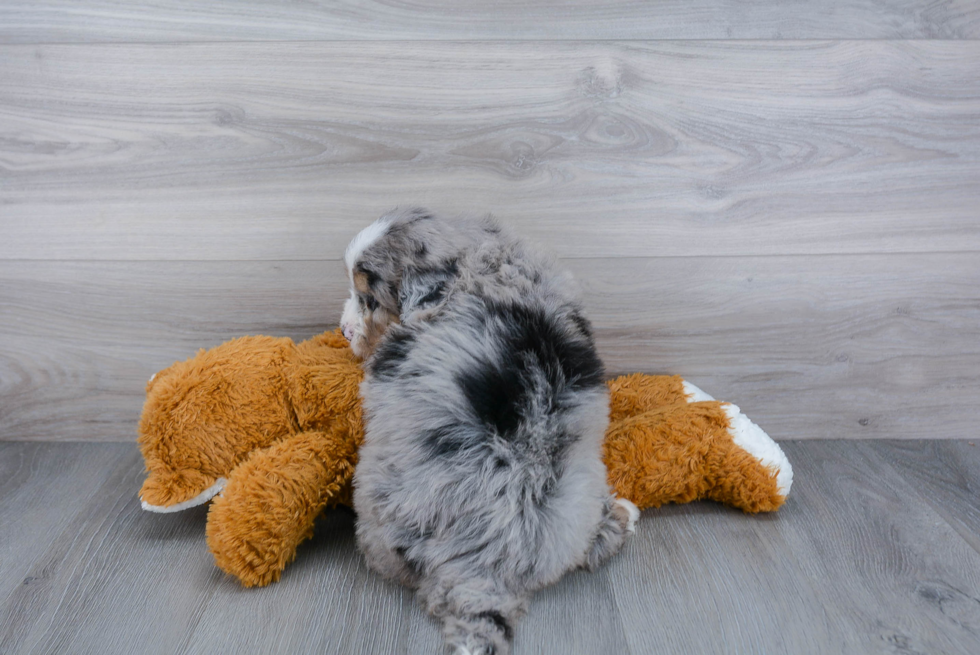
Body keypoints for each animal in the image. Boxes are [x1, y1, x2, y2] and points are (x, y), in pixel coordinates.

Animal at [342, 208, 636, 652]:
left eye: (371, 300)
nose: (344, 332)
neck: (481, 259)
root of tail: (490, 563)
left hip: (381, 512)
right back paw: (621, 516)